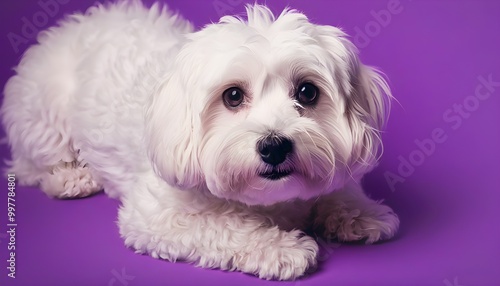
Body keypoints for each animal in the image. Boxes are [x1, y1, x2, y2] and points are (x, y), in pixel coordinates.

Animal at [0, 1, 398, 280]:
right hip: (44, 115)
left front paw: (358, 211)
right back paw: (72, 177)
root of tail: (73, 23)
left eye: (307, 92)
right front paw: (279, 248)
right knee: (33, 164)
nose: (274, 146)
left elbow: (336, 187)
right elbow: (225, 227)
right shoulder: (157, 214)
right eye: (233, 96)